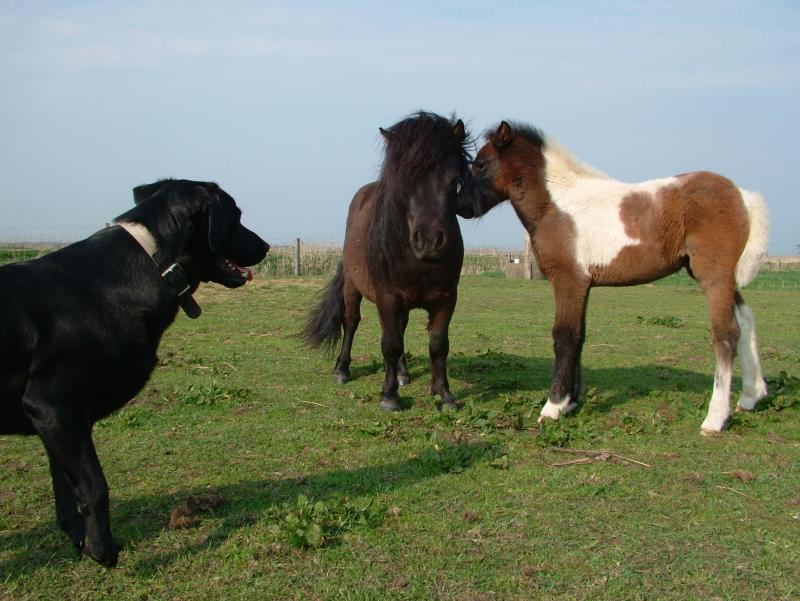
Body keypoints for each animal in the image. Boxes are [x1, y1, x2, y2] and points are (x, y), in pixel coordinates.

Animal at [0, 178, 268, 568]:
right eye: (236, 214)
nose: (265, 246)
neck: (153, 266)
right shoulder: (53, 406)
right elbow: (94, 485)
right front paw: (103, 550)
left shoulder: (54, 420)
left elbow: (66, 493)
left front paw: (82, 542)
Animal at [304, 111, 468, 412]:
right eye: (404, 181)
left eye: (453, 180)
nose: (429, 241)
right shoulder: (387, 297)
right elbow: (390, 344)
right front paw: (390, 397)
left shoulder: (446, 298)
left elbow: (438, 345)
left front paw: (444, 394)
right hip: (353, 287)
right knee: (351, 322)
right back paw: (342, 370)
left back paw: (403, 373)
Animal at [460, 120, 772, 432]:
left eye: (481, 164)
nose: (463, 207)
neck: (558, 205)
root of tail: (742, 196)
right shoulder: (583, 285)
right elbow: (579, 336)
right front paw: (571, 402)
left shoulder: (568, 280)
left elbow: (564, 336)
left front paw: (553, 406)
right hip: (718, 276)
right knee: (746, 321)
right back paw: (751, 396)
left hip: (714, 276)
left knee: (726, 334)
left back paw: (715, 418)